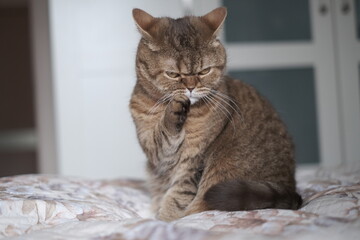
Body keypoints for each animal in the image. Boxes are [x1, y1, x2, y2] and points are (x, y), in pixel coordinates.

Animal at [130, 7, 304, 221]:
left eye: (204, 71)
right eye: (173, 74)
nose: (190, 88)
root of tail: (290, 189)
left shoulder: (194, 161)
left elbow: (178, 196)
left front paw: (165, 219)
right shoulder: (156, 151)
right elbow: (164, 137)